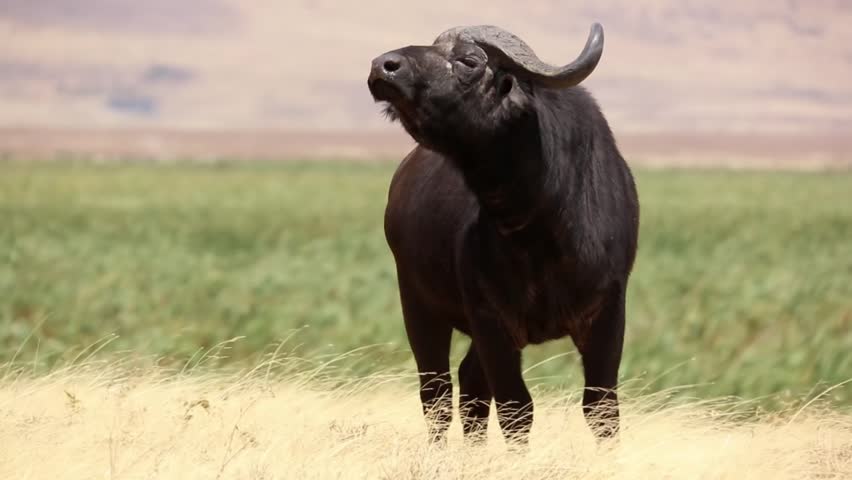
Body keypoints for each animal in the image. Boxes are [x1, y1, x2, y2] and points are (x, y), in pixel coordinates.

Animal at [367, 23, 639, 446]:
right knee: (438, 395)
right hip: (418, 303)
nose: (384, 66)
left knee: (469, 388)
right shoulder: (491, 321)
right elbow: (515, 409)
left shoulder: (609, 312)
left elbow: (602, 410)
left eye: (469, 61)